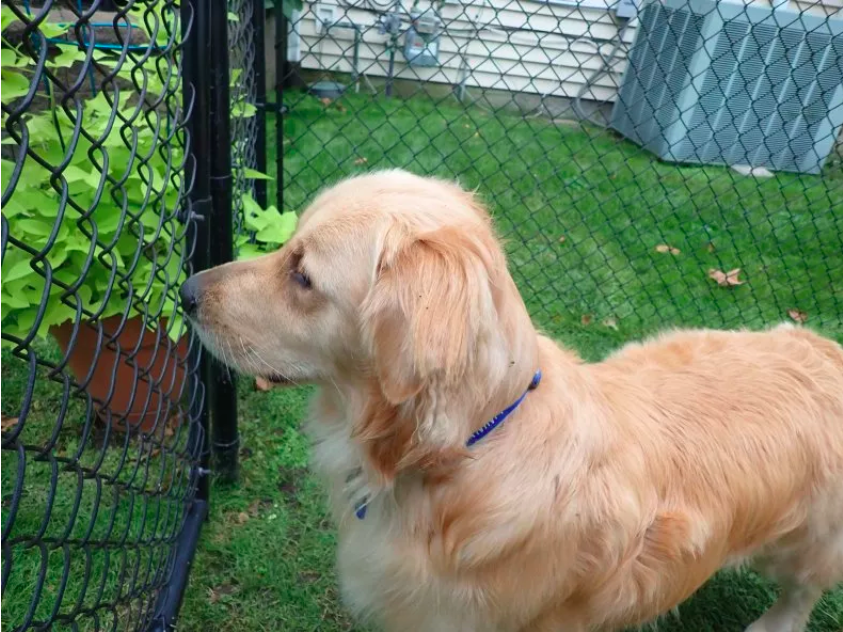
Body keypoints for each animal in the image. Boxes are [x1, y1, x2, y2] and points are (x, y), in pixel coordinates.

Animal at [183, 169, 843, 632]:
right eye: (286, 246)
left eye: (303, 276)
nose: (186, 291)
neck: (456, 453)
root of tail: (824, 348)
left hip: (802, 540)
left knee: (805, 586)